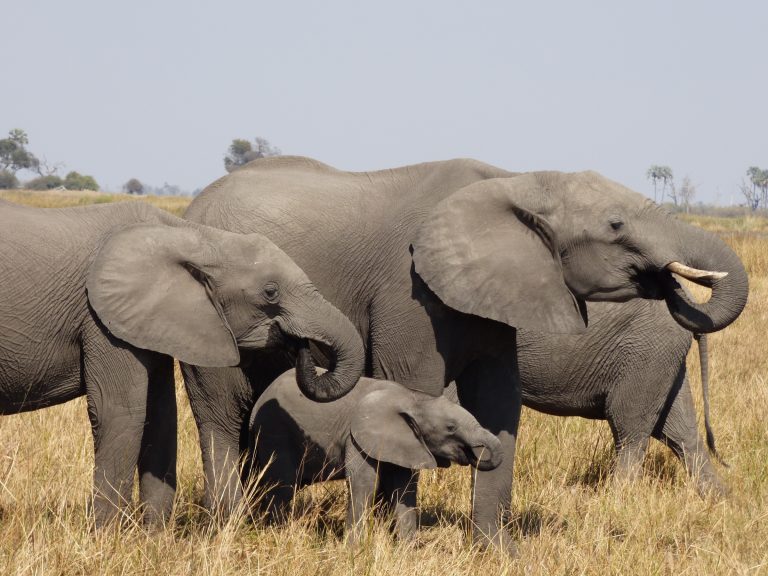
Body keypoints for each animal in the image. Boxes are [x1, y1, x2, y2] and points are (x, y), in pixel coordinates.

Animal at [0, 198, 364, 528]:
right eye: (271, 292)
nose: (299, 344)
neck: (192, 236)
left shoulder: (151, 316)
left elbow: (161, 414)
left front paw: (155, 538)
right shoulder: (101, 319)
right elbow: (121, 412)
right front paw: (105, 539)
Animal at [250, 346, 504, 544]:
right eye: (451, 428)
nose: (474, 455)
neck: (413, 398)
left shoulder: (404, 442)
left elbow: (404, 488)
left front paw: (407, 549)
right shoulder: (356, 437)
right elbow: (365, 483)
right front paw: (353, 550)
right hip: (275, 429)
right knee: (282, 484)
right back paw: (277, 534)